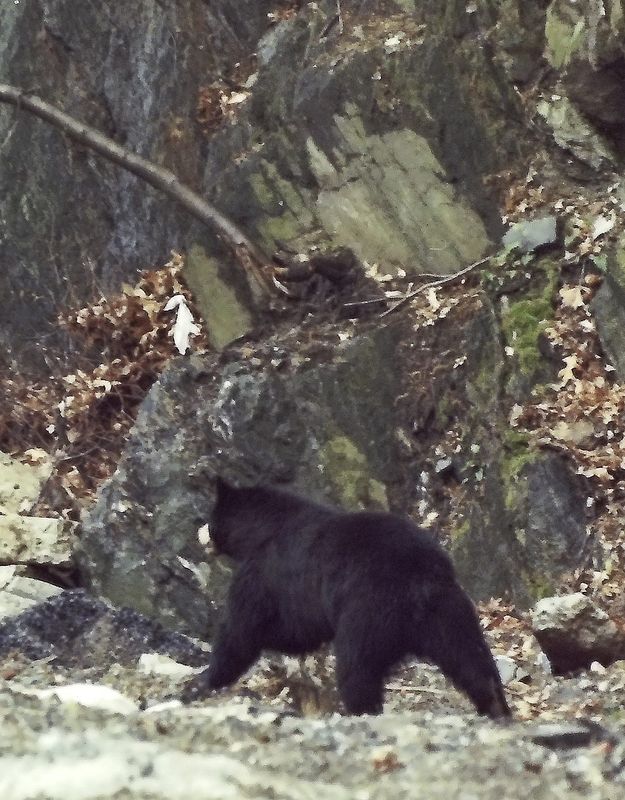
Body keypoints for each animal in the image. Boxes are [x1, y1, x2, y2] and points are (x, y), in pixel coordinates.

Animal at [181, 478, 510, 718]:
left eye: (211, 518)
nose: (200, 534)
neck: (262, 530)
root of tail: (422, 577)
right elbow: (299, 631)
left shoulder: (266, 574)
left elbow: (244, 631)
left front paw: (203, 681)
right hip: (449, 610)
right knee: (470, 657)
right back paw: (496, 707)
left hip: (368, 611)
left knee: (356, 668)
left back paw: (360, 709)